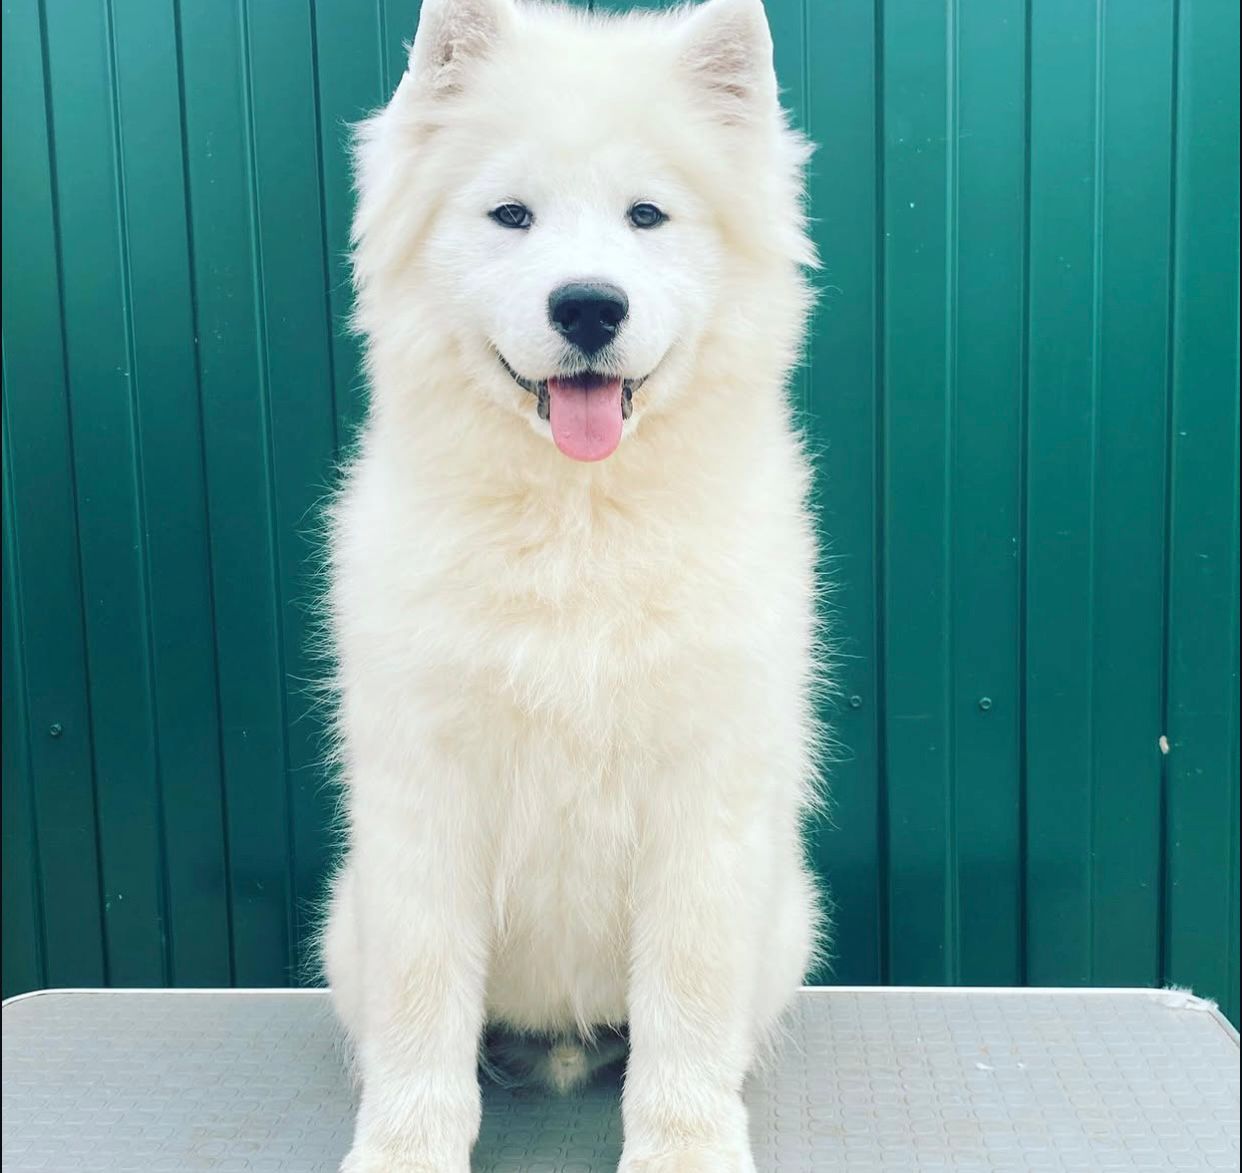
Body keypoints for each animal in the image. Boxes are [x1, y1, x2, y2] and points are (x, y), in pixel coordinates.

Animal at [321, 1, 825, 1169]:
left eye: (648, 215)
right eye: (511, 214)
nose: (589, 306)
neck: (577, 521)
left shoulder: (704, 800)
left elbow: (686, 1007)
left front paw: (685, 1148)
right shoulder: (424, 798)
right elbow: (423, 1010)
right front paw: (406, 1149)